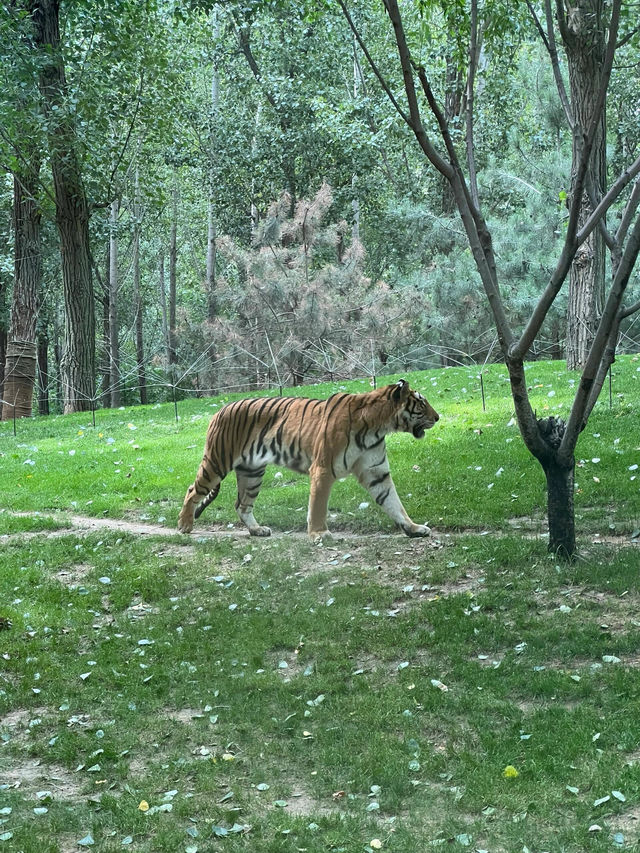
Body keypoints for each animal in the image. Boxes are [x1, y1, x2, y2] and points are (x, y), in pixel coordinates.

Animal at [179, 382, 440, 540]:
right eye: (422, 403)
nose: (438, 417)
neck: (378, 427)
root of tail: (219, 409)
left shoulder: (377, 473)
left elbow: (394, 503)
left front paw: (413, 528)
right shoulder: (323, 469)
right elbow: (318, 505)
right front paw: (319, 534)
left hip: (252, 473)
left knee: (242, 505)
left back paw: (257, 529)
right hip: (217, 461)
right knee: (193, 490)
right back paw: (184, 525)